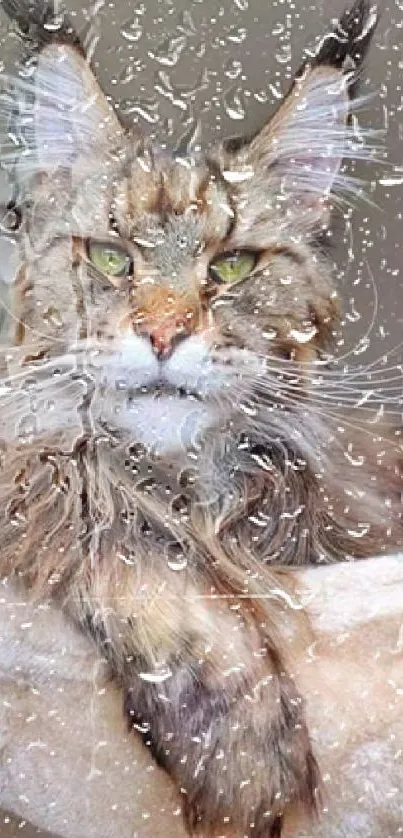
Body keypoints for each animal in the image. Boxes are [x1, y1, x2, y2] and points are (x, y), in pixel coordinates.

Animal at [0, 0, 402, 836]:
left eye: (231, 267)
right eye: (111, 258)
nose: (162, 333)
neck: (183, 488)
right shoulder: (32, 466)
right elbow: (116, 528)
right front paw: (241, 758)